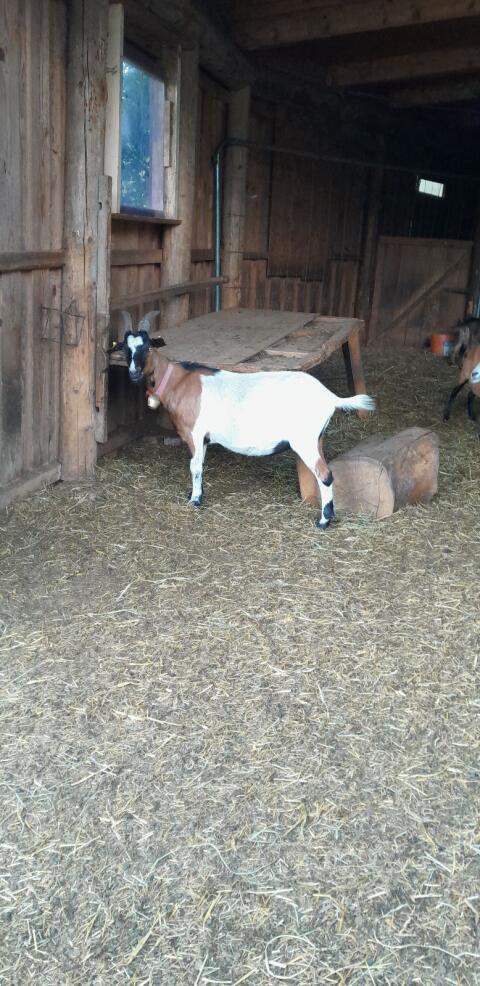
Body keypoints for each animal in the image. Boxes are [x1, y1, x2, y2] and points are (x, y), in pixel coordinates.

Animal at [110, 311, 376, 529]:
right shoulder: (204, 439)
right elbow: (201, 465)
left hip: (304, 441)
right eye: (126, 348)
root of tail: (329, 397)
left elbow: (194, 467)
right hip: (314, 439)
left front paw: (195, 501)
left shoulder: (194, 433)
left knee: (325, 475)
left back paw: (323, 521)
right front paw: (196, 494)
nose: (133, 373)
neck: (180, 381)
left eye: (147, 347)